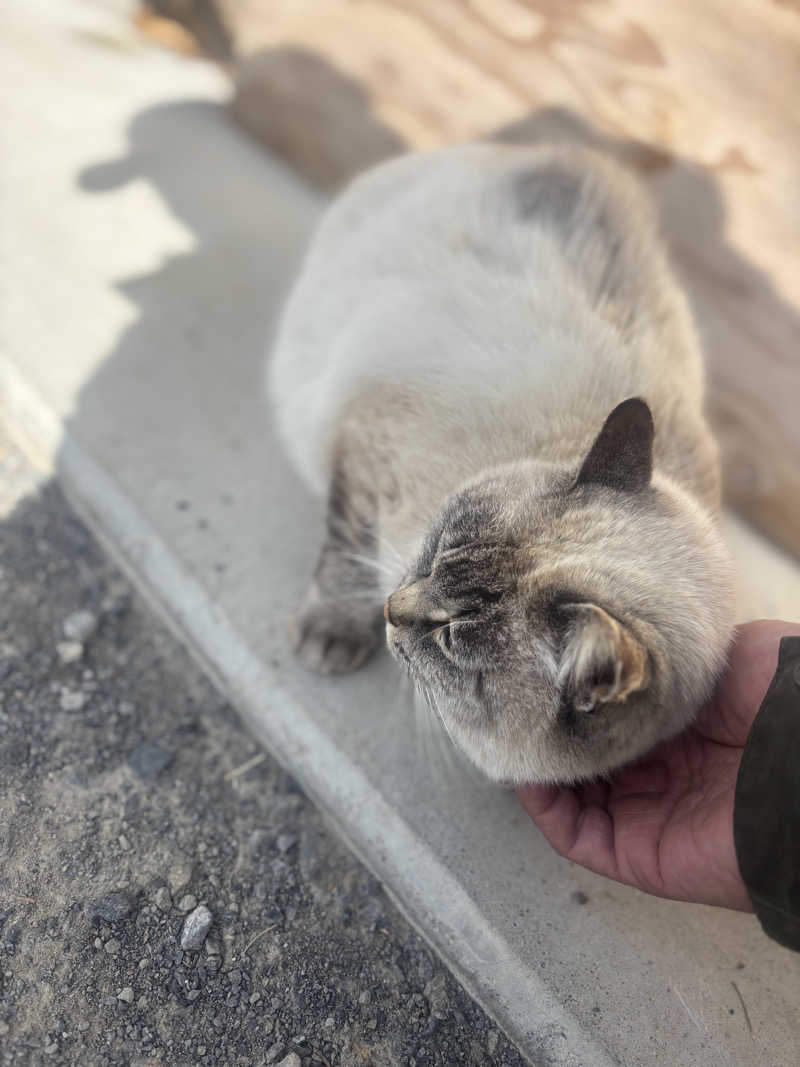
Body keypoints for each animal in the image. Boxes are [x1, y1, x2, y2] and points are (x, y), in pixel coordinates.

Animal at [270, 141, 738, 785]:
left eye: (449, 637)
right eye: (438, 550)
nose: (391, 608)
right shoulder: (367, 450)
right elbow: (345, 557)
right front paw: (329, 635)